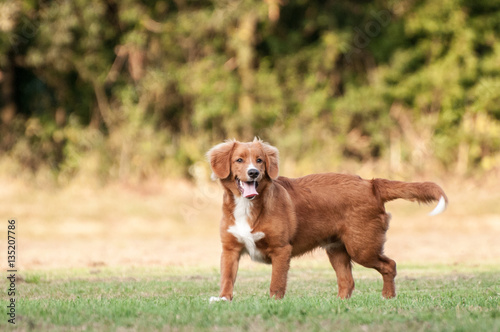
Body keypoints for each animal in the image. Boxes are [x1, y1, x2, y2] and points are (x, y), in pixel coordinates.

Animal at [205, 137, 448, 300]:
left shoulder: (281, 250)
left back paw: (387, 297)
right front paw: (224, 300)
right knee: (347, 281)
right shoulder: (230, 249)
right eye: (239, 160)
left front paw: (274, 303)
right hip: (336, 249)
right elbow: (227, 279)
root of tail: (371, 184)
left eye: (259, 161)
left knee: (390, 265)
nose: (253, 173)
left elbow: (276, 283)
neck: (248, 206)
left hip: (361, 247)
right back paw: (341, 304)